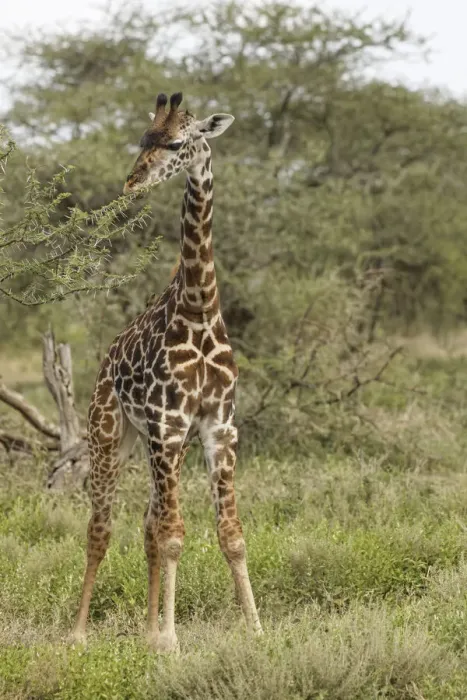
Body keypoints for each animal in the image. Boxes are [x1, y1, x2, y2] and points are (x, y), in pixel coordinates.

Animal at [71, 92, 262, 652]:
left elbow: (230, 535)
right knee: (102, 528)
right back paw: (78, 633)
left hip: (156, 446)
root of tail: (106, 361)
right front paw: (173, 642)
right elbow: (176, 536)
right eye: (143, 139)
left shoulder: (218, 427)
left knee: (148, 524)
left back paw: (148, 628)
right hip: (110, 435)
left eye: (177, 144)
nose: (133, 181)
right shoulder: (167, 424)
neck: (199, 309)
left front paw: (256, 629)